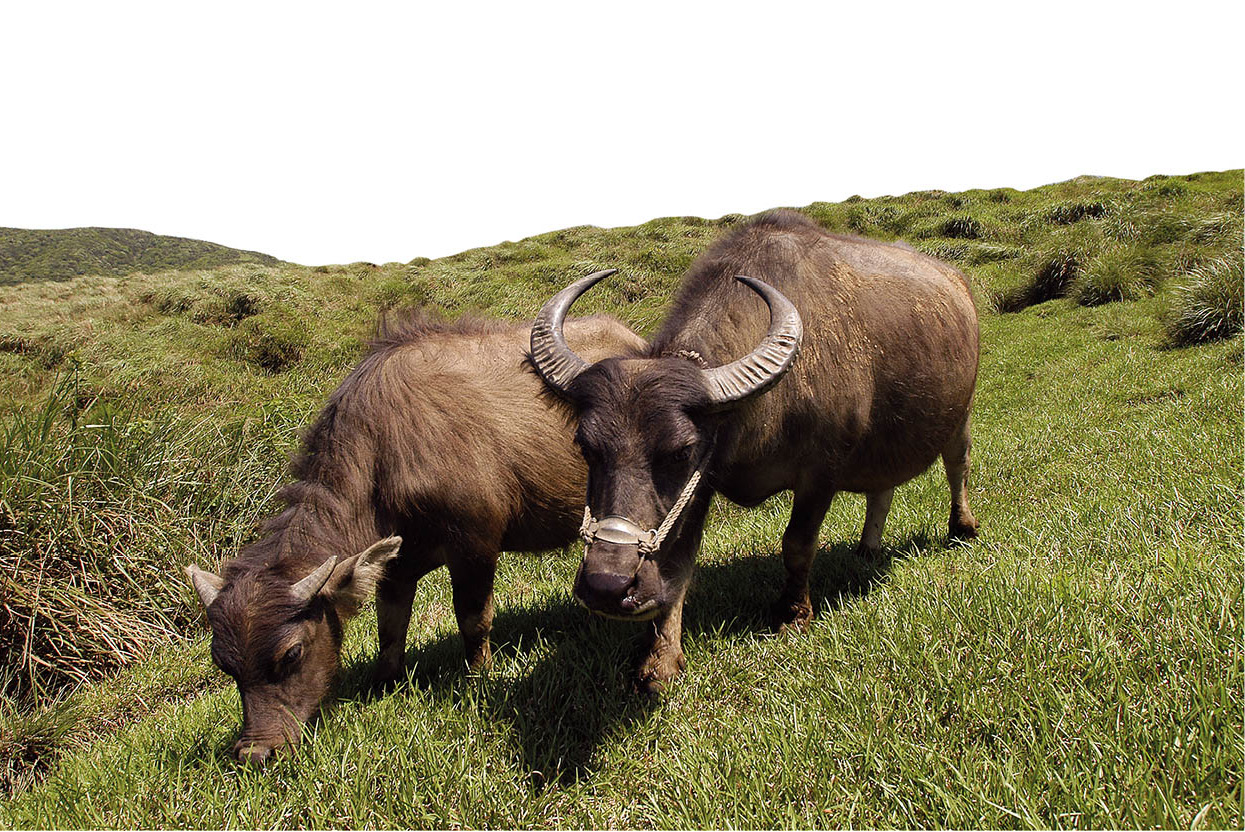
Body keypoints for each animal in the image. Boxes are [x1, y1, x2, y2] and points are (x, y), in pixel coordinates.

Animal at [187, 310, 647, 762]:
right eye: (224, 665)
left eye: (292, 654)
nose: (254, 752)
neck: (385, 452)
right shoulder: (396, 566)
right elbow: (390, 628)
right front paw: (383, 682)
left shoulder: (474, 548)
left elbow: (474, 620)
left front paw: (478, 676)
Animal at [530, 211, 976, 692]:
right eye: (585, 446)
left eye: (680, 450)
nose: (607, 586)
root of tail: (959, 284)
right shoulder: (702, 483)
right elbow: (678, 562)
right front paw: (660, 659)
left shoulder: (820, 472)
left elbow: (798, 543)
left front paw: (794, 614)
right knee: (884, 487)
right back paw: (868, 547)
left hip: (961, 414)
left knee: (957, 463)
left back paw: (962, 527)